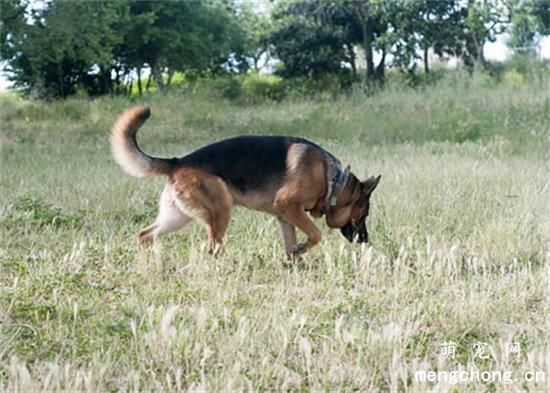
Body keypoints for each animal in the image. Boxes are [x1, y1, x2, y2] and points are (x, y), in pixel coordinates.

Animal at [110, 105, 382, 258]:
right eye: (363, 214)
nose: (366, 240)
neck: (332, 181)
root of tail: (178, 162)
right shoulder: (289, 206)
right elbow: (315, 234)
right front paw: (302, 250)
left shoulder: (285, 217)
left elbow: (292, 246)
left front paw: (296, 263)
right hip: (220, 210)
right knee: (212, 247)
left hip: (177, 217)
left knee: (145, 235)